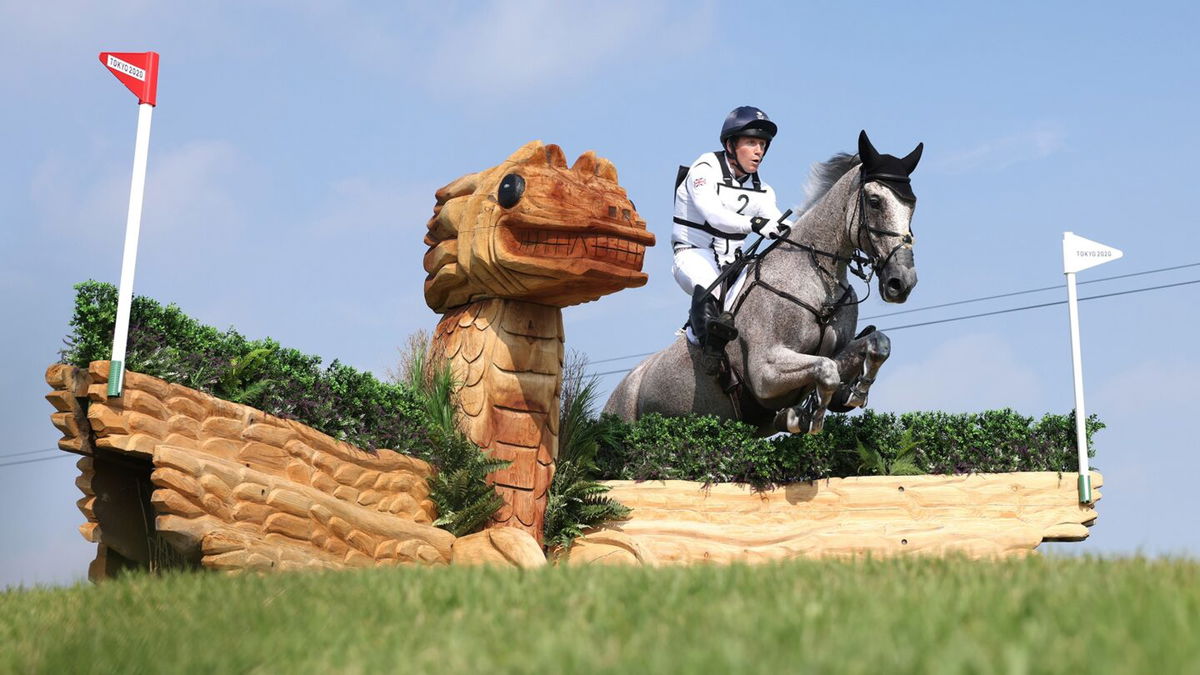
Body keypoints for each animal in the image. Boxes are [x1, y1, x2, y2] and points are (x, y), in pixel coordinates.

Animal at [604, 130, 921, 437]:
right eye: (875, 201)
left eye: (912, 206)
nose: (901, 282)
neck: (817, 280)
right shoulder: (766, 373)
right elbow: (827, 370)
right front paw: (808, 415)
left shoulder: (835, 351)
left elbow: (877, 343)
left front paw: (854, 392)